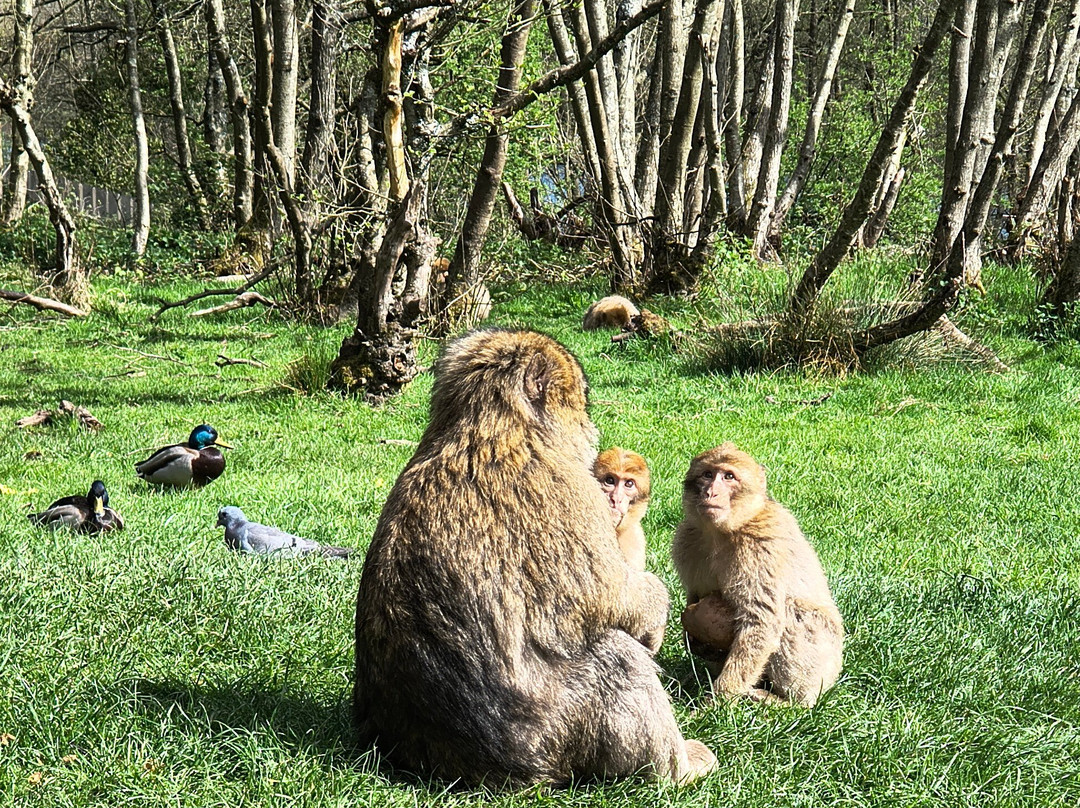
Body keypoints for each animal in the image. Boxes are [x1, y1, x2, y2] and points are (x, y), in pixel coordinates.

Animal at [353, 329, 717, 786]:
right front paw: (656, 609)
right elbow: (612, 597)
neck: (491, 429)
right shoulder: (570, 491)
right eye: (581, 402)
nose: (590, 426)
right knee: (617, 656)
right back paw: (677, 767)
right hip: (550, 732)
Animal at [671, 444, 843, 707]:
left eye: (729, 477)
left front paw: (716, 705)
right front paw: (696, 642)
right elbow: (696, 598)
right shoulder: (686, 541)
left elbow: (762, 621)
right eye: (707, 475)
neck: (726, 530)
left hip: (823, 664)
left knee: (793, 610)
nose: (711, 492)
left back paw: (788, 702)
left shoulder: (758, 550)